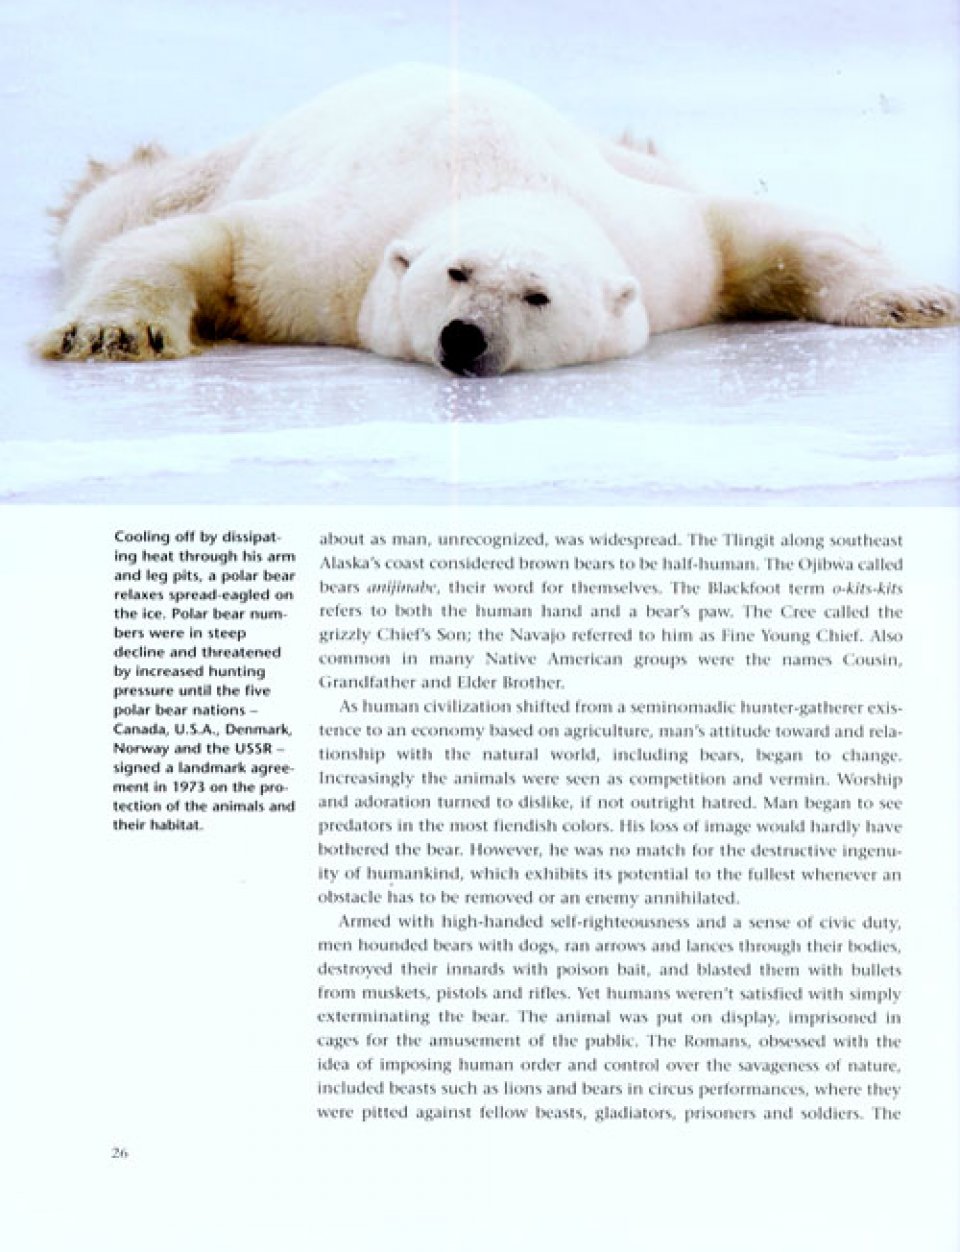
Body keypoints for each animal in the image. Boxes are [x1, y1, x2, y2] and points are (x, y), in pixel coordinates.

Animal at [35, 63, 958, 374]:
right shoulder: (327, 256)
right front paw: (115, 333)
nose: (464, 335)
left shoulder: (670, 251)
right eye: (458, 271)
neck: (497, 175)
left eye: (536, 296)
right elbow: (213, 244)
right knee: (122, 208)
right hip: (228, 162)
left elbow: (757, 232)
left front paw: (913, 300)